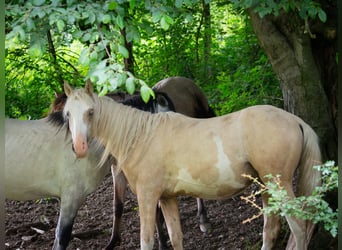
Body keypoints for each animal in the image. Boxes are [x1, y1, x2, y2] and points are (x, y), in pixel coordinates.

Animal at [54, 81, 324, 249]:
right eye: (68, 114)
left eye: (90, 112)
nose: (79, 147)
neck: (141, 136)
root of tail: (296, 120)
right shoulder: (167, 198)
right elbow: (176, 238)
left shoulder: (148, 197)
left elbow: (147, 241)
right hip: (267, 188)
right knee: (271, 231)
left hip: (280, 186)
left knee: (299, 229)